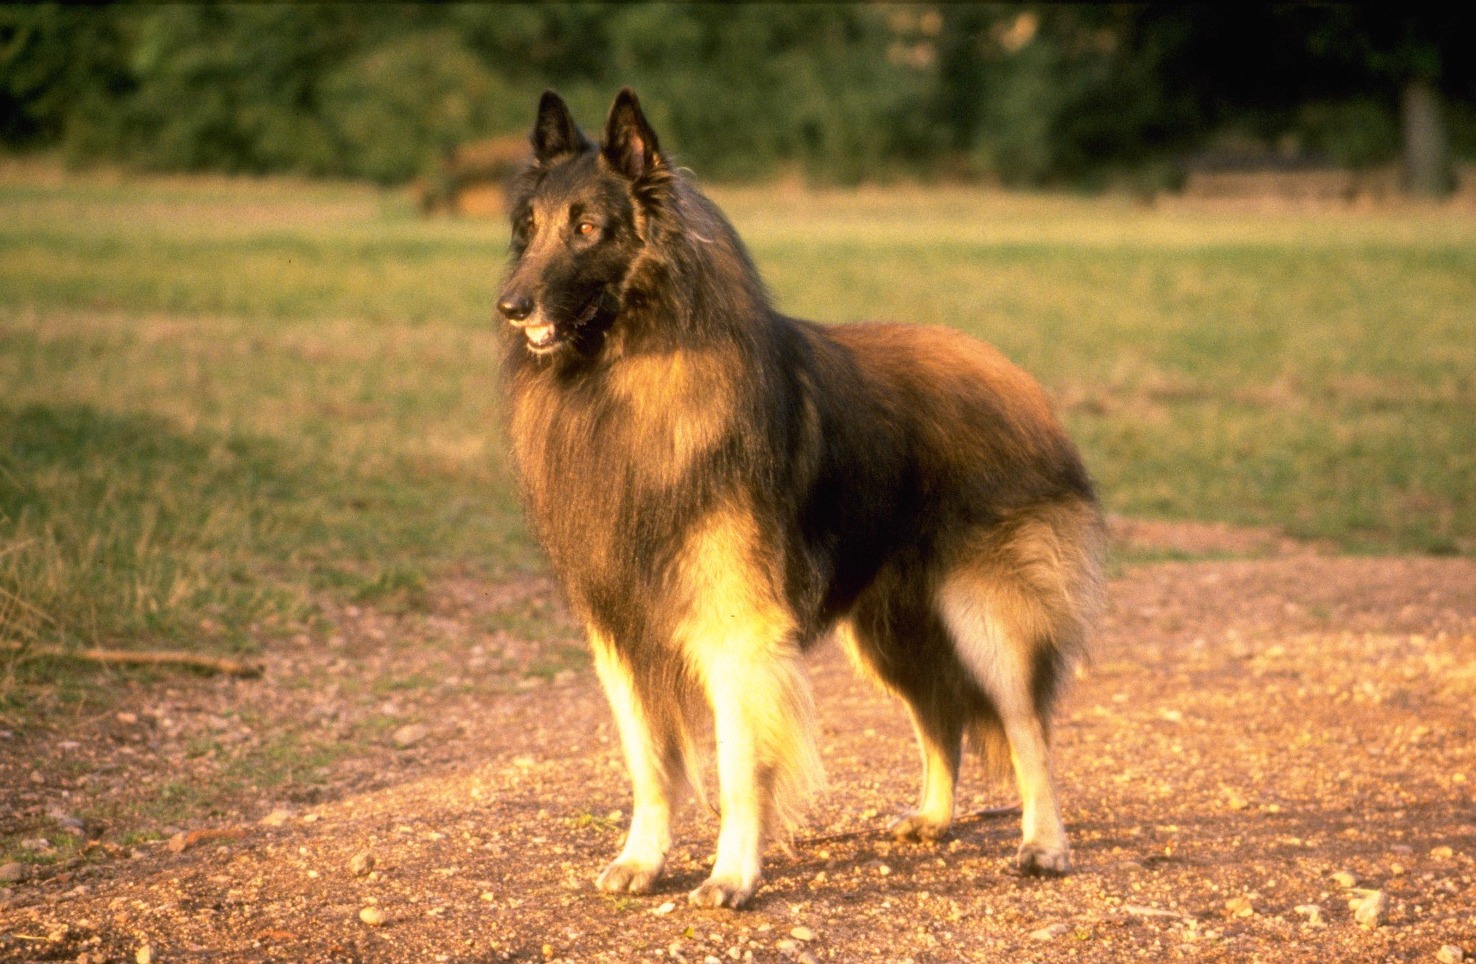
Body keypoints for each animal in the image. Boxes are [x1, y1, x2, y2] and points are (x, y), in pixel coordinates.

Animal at [498, 86, 1109, 903]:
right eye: (528, 228)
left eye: (588, 228)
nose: (509, 305)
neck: (623, 382)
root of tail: (1022, 384)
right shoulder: (621, 635)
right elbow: (650, 765)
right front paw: (642, 860)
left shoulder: (737, 637)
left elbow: (737, 769)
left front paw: (732, 877)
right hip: (893, 634)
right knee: (940, 717)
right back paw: (933, 817)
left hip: (985, 618)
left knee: (1026, 728)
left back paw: (1045, 844)